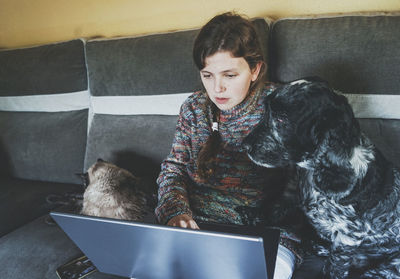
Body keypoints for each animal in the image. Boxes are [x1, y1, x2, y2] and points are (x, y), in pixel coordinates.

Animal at [244, 79, 400, 279]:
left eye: (281, 119)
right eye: (266, 112)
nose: (245, 146)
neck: (310, 171)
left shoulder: (348, 237)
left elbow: (335, 265)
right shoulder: (291, 194)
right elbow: (274, 209)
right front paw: (251, 216)